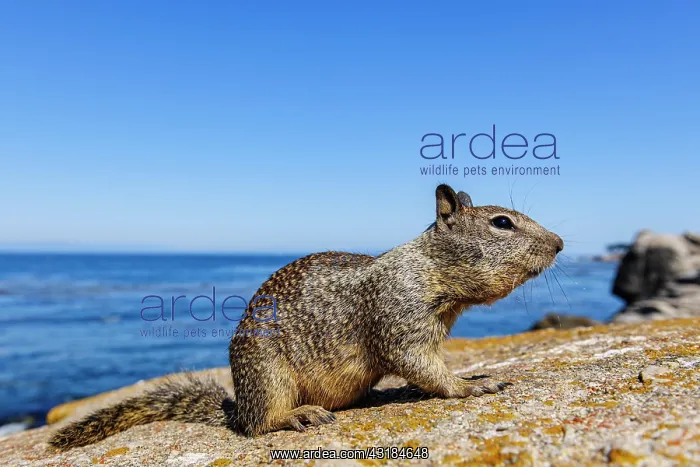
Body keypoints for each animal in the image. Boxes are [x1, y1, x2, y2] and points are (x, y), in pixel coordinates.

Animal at [49, 183, 563, 449]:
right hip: (267, 374)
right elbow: (419, 364)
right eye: (501, 223)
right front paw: (471, 385)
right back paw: (298, 416)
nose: (560, 243)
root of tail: (238, 406)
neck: (431, 268)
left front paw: (467, 375)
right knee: (258, 426)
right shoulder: (399, 315)